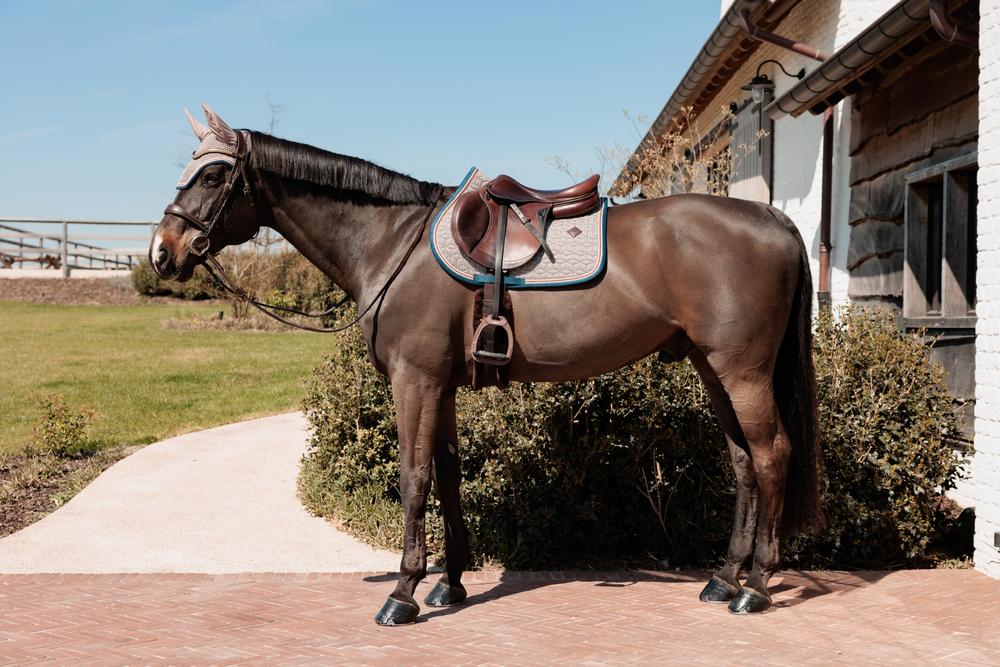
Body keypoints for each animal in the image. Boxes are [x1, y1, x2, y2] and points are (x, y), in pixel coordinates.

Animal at [150, 106, 824, 625]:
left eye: (213, 174)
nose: (163, 252)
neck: (394, 244)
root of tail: (774, 217)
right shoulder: (441, 385)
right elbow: (448, 475)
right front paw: (449, 583)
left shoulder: (415, 381)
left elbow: (414, 478)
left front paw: (403, 594)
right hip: (713, 369)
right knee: (742, 461)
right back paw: (724, 577)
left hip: (742, 372)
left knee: (771, 455)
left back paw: (756, 588)